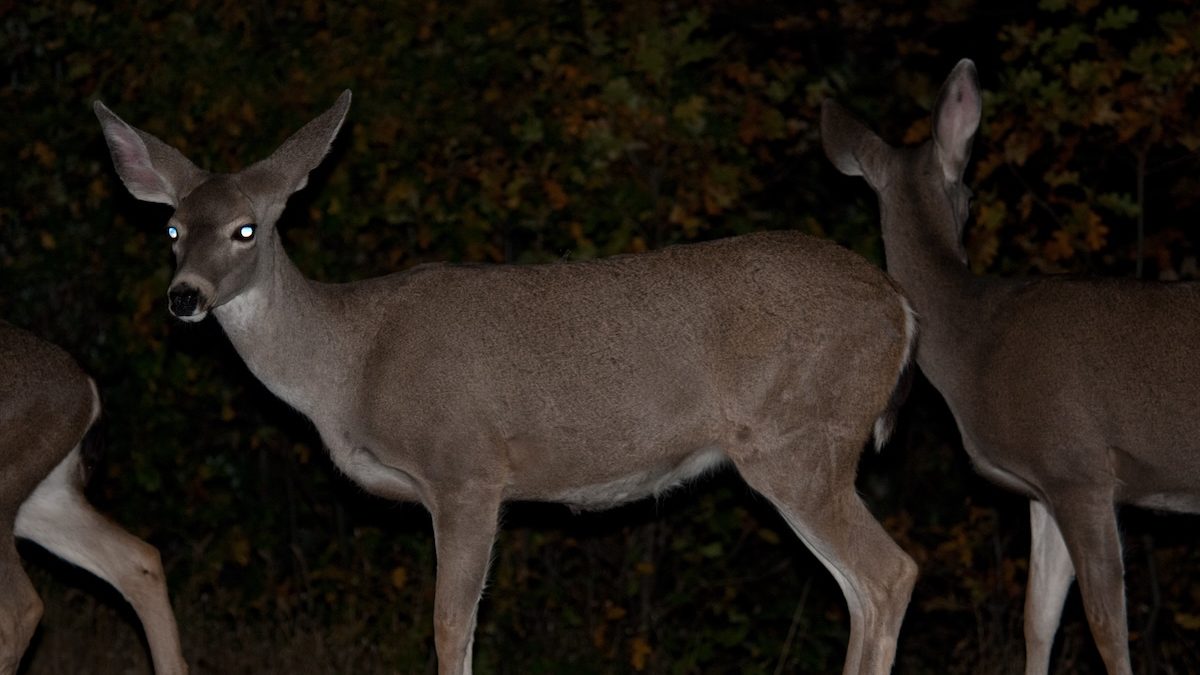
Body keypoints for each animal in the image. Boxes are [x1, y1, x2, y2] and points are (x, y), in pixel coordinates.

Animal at [94, 91, 920, 675]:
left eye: (247, 229)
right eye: (172, 229)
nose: (185, 297)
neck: (351, 363)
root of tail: (901, 308)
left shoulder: (466, 469)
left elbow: (449, 624)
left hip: (797, 438)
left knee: (889, 573)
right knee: (863, 588)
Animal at [822, 58, 1200, 675]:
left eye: (973, 196)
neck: (976, 342)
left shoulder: (1079, 467)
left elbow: (1105, 626)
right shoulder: (1044, 487)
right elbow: (1038, 618)